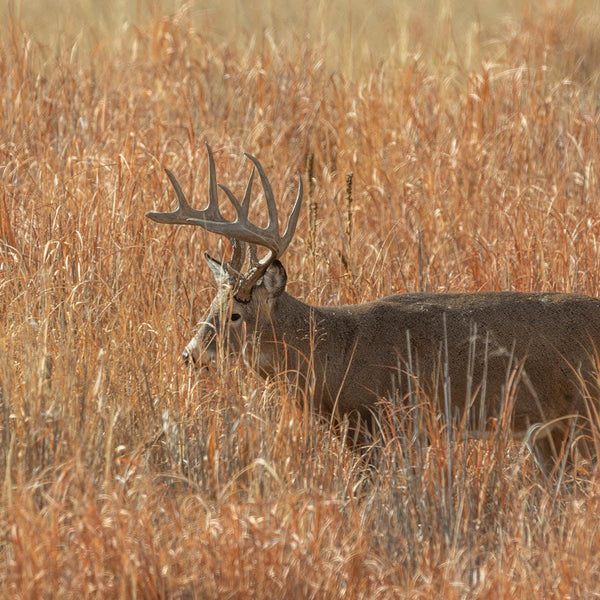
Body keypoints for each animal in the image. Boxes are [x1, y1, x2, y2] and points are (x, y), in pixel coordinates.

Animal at [148, 144, 600, 468]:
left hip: (582, 417)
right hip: (548, 434)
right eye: (209, 306)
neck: (334, 351)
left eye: (236, 314)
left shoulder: (381, 424)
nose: (189, 354)